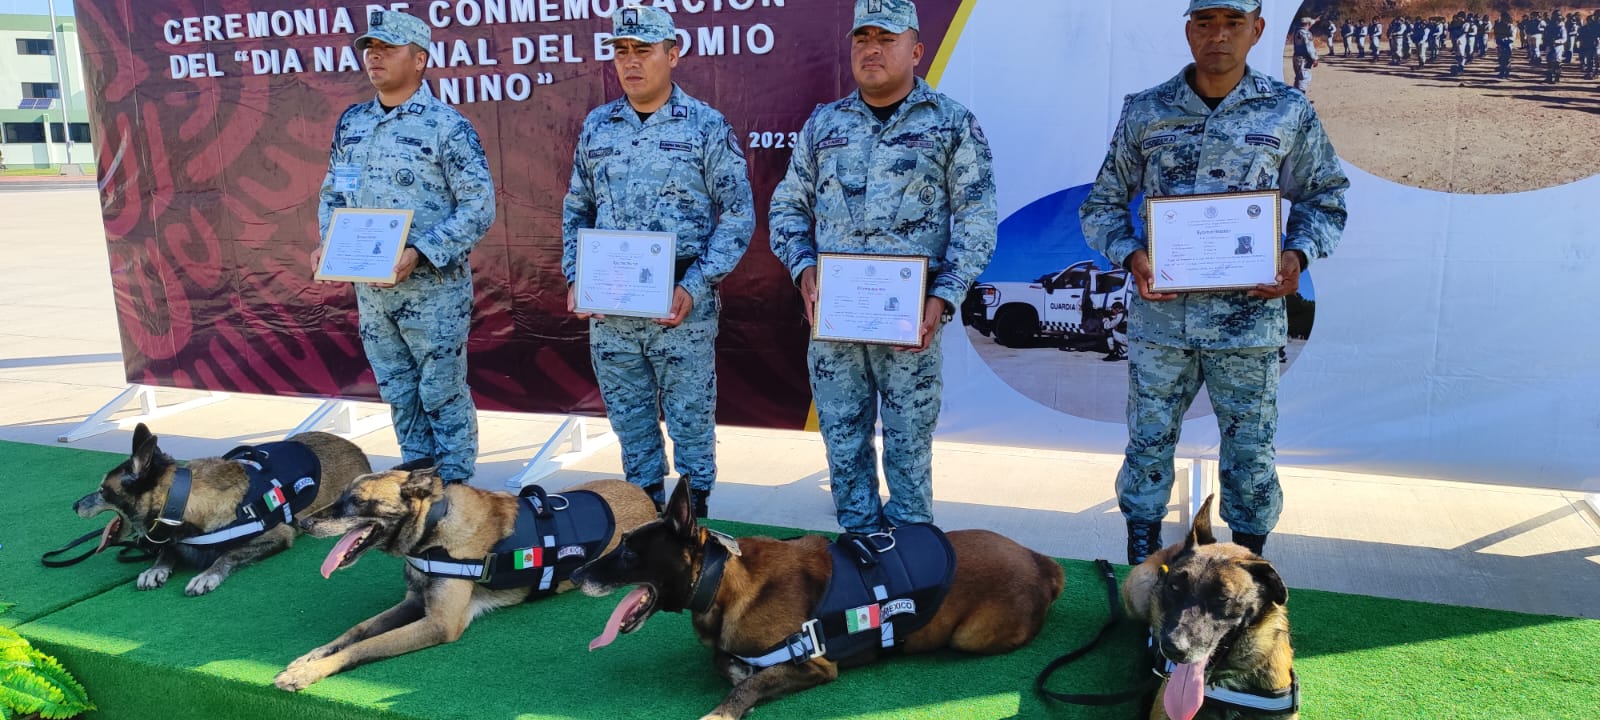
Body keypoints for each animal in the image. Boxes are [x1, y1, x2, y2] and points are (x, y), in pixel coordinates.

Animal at [72, 422, 371, 595]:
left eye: (102, 490)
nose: (75, 504)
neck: (183, 502)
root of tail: (355, 448)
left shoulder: (277, 535)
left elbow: (227, 554)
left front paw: (207, 576)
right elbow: (168, 550)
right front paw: (156, 569)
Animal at [275, 460, 656, 691]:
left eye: (356, 500)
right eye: (341, 495)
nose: (303, 522)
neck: (434, 526)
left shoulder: (439, 623)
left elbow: (366, 645)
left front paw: (306, 673)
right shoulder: (415, 603)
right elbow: (357, 630)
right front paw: (310, 658)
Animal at [569, 476, 1068, 720]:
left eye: (629, 551)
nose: (574, 573)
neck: (723, 579)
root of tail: (1041, 561)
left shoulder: (815, 665)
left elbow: (747, 681)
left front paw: (722, 711)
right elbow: (729, 665)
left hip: (970, 637)